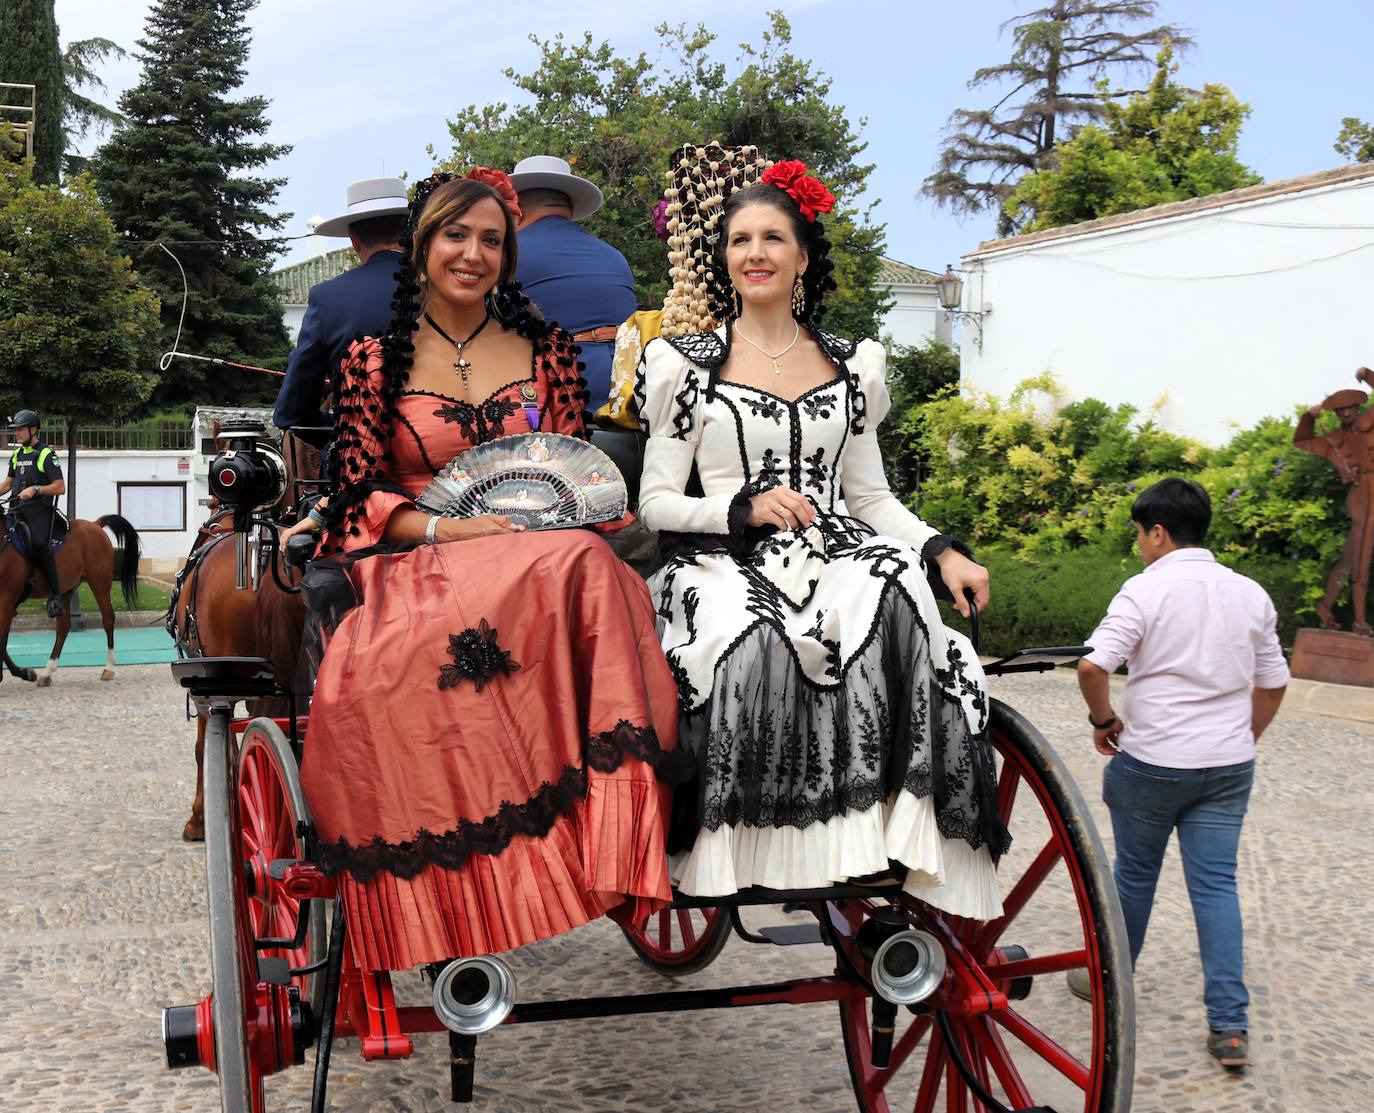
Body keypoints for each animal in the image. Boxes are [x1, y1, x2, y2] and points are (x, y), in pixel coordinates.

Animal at [1, 511, 140, 684]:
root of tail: (95, 524)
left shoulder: (7, 599)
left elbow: (1, 642)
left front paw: (24, 673)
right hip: (66, 590)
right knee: (64, 627)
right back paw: (47, 672)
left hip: (99, 582)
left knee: (108, 619)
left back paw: (109, 668)